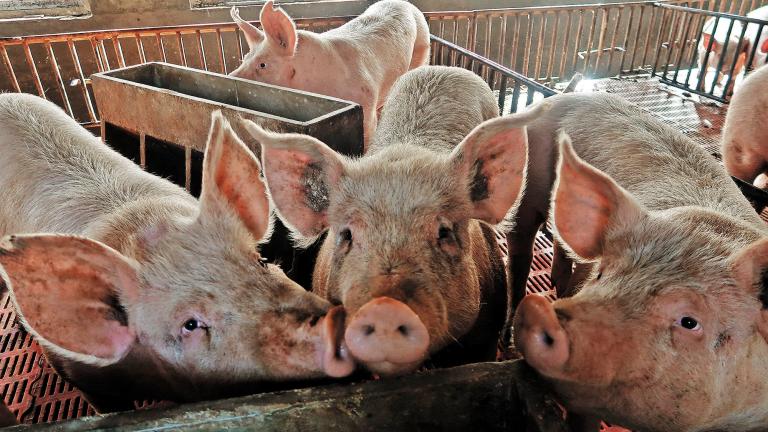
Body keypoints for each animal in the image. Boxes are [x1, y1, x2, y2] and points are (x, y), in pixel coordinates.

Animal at [228, 0, 432, 149]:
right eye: (244, 58)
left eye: (263, 65)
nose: (229, 78)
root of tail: (406, 3)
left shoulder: (366, 102)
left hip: (422, 48)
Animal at [510, 92, 768, 432]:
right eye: (602, 274)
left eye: (689, 321)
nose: (542, 311)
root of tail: (568, 95)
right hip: (530, 178)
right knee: (521, 243)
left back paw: (559, 284)